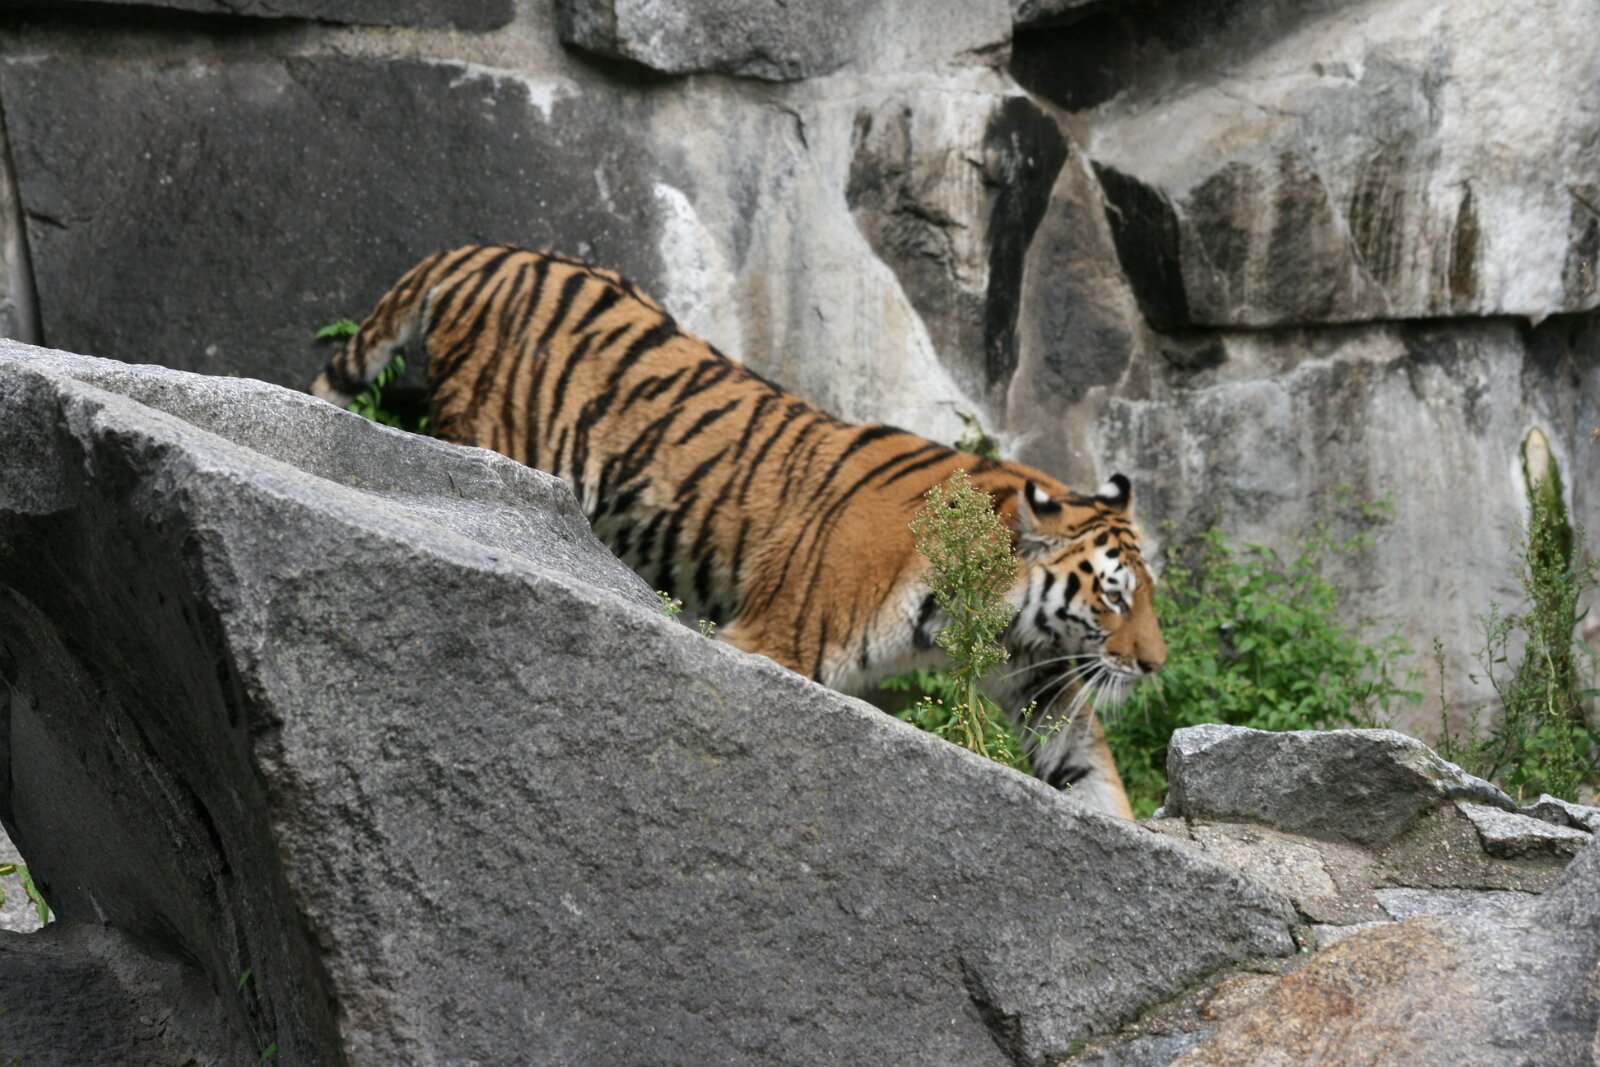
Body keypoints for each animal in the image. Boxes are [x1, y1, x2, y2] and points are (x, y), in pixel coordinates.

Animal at [312, 244, 1166, 819]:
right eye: (1114, 596)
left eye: (1148, 595)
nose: (1155, 665)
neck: (986, 608)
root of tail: (478, 253)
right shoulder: (777, 640)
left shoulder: (1041, 678)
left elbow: (1090, 769)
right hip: (496, 439)